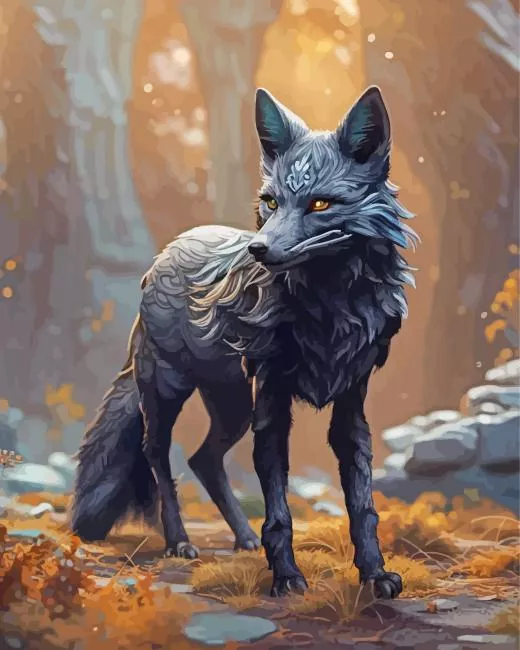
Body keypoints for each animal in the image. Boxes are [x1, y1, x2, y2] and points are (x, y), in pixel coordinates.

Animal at [71, 85, 417, 599]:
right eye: (271, 202)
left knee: (203, 460)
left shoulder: (351, 401)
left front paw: (374, 575)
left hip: (233, 407)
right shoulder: (271, 403)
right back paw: (179, 541)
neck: (331, 310)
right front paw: (288, 577)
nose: (259, 249)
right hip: (170, 394)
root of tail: (166, 253)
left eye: (320, 205)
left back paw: (244, 539)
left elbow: (363, 506)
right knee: (159, 456)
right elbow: (280, 513)